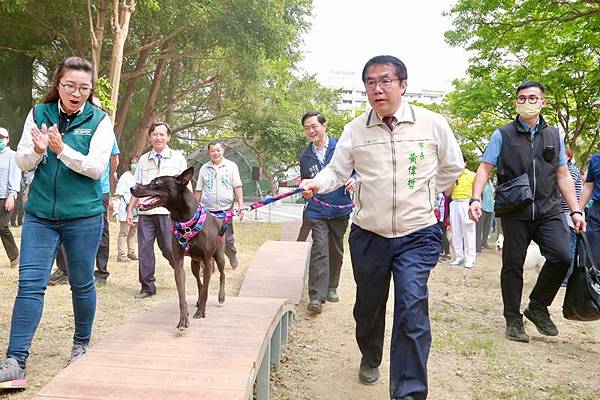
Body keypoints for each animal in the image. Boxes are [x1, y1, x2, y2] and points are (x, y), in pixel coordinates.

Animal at [130, 167, 226, 330]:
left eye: (156, 182)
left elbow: (207, 289)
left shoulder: (207, 261)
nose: (132, 188)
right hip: (194, 264)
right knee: (199, 283)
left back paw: (221, 296)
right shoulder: (178, 262)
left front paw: (201, 312)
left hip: (218, 257)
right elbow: (182, 294)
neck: (186, 221)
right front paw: (183, 319)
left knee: (221, 275)